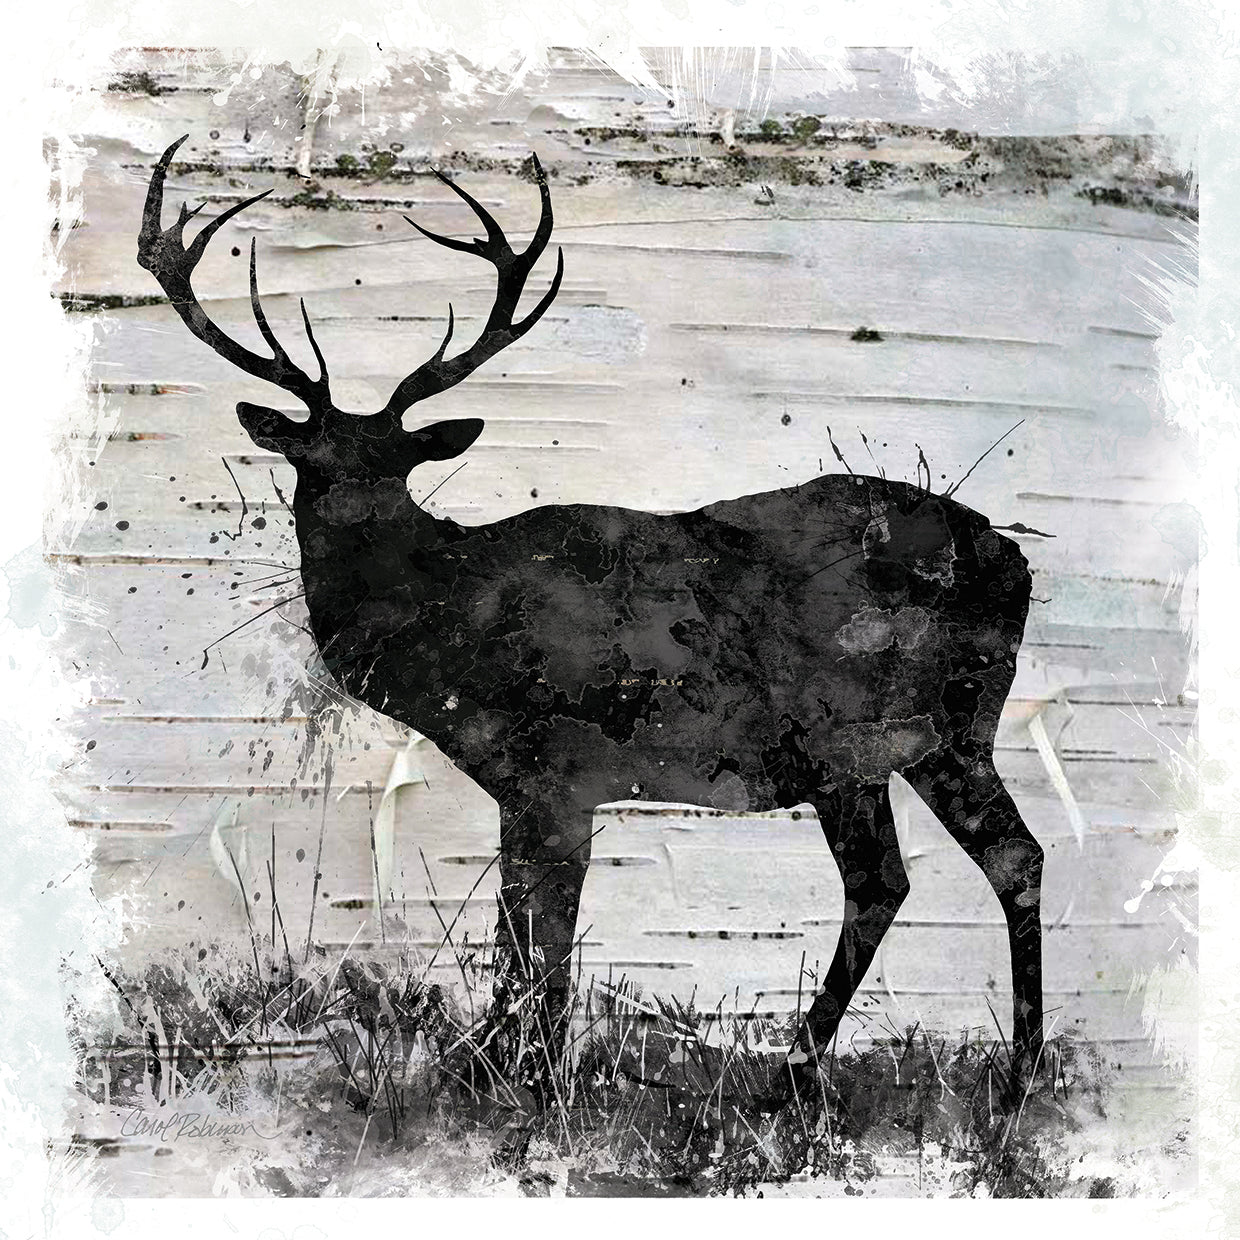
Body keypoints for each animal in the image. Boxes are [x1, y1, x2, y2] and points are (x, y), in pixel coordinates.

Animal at [137, 134, 1044, 1109]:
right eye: (310, 461)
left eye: (395, 464)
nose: (352, 532)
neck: (457, 635)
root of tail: (1017, 562)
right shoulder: (521, 786)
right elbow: (516, 933)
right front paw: (500, 1069)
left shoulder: (560, 772)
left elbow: (543, 947)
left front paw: (531, 1080)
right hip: (915, 746)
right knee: (957, 868)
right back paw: (929, 1073)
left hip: (880, 734)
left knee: (927, 872)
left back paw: (879, 1072)